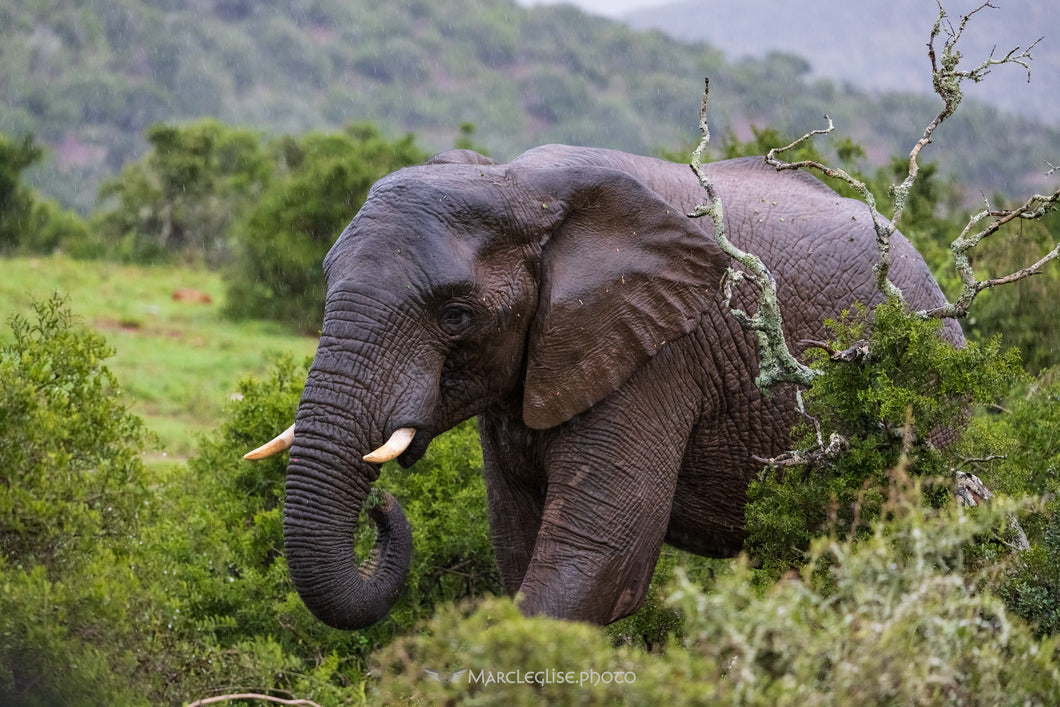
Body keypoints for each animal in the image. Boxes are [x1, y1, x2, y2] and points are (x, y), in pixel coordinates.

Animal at [245, 144, 963, 629]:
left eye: (456, 316)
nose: (381, 506)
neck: (519, 186)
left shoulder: (660, 357)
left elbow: (593, 563)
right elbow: (519, 546)